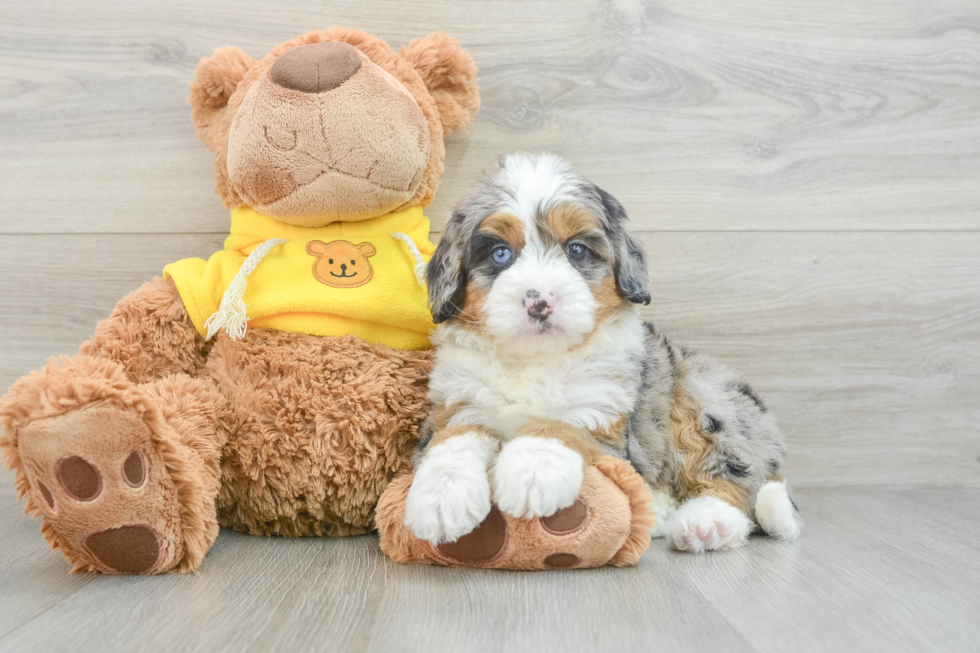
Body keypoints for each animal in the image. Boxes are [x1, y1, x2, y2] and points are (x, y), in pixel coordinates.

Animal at [402, 152, 800, 552]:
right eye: (500, 253)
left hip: (705, 392)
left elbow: (560, 425)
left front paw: (532, 473)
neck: (534, 357)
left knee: (734, 480)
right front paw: (440, 499)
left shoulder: (602, 412)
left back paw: (705, 524)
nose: (539, 301)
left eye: (576, 250)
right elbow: (453, 440)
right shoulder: (456, 403)